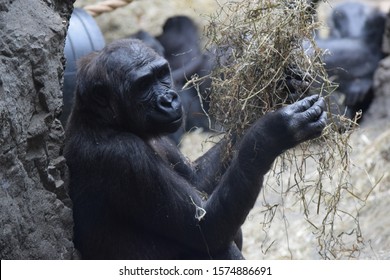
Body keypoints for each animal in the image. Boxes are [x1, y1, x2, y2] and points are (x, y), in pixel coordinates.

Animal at [65, 38, 328, 260]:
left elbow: (198, 180)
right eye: (142, 85)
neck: (108, 121)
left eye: (161, 74)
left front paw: (282, 88)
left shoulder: (164, 139)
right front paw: (272, 131)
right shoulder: (124, 156)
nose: (168, 99)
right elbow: (204, 228)